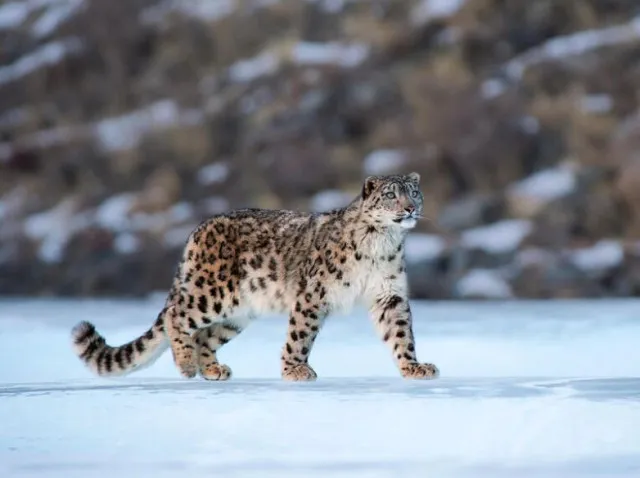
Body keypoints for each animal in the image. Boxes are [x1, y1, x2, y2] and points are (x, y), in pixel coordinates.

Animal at [71, 173, 439, 382]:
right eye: (391, 195)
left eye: (414, 192)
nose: (409, 208)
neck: (383, 243)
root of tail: (197, 230)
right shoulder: (313, 294)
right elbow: (300, 335)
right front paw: (294, 370)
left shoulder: (389, 294)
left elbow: (401, 334)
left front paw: (413, 367)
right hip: (211, 294)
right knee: (177, 315)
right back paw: (187, 364)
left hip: (237, 314)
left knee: (206, 337)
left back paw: (213, 370)